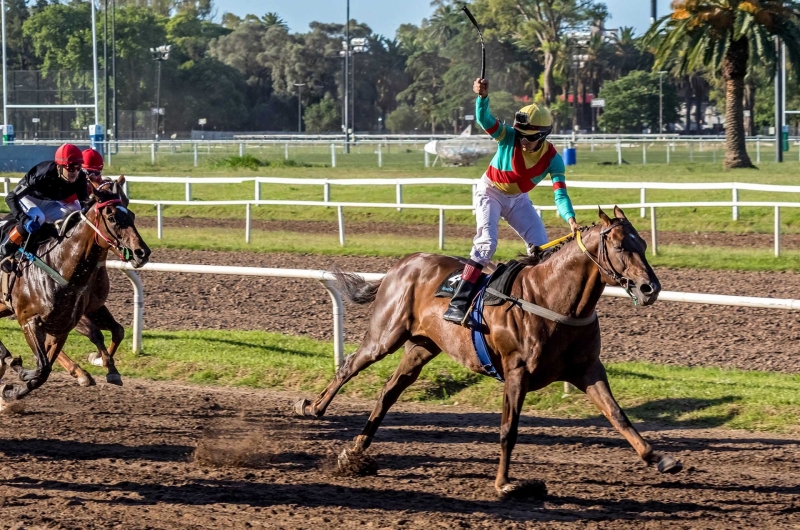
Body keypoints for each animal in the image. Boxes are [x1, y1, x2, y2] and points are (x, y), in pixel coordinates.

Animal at [0, 176, 150, 396]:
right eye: (112, 217)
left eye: (130, 213)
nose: (142, 253)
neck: (60, 266)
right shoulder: (29, 321)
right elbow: (44, 364)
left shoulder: (72, 320)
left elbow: (116, 331)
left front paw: (105, 366)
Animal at [296, 205, 684, 496]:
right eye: (620, 247)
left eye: (643, 243)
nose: (650, 288)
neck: (553, 299)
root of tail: (402, 263)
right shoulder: (517, 371)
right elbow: (508, 429)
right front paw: (504, 483)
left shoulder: (587, 369)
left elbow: (618, 415)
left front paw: (659, 458)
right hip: (386, 334)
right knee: (350, 365)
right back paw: (313, 408)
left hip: (422, 347)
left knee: (389, 393)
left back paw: (355, 450)